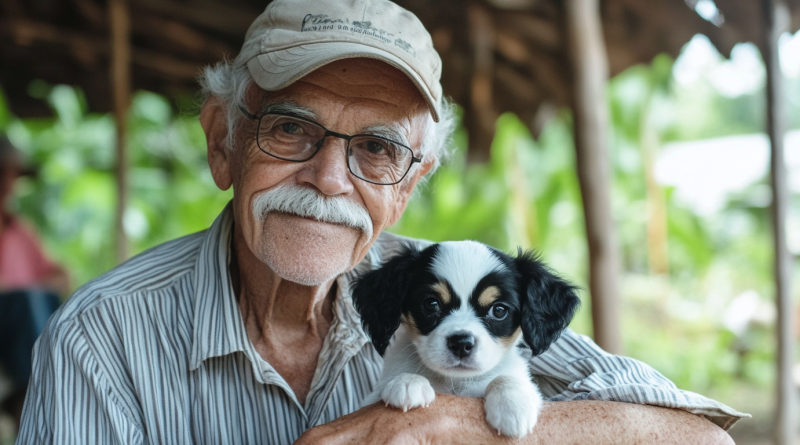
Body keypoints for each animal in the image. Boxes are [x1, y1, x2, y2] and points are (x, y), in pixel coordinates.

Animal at [352, 239, 580, 438]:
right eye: (431, 304)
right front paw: (407, 382)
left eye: (499, 310)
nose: (461, 344)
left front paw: (513, 407)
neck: (456, 382)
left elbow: (506, 377)